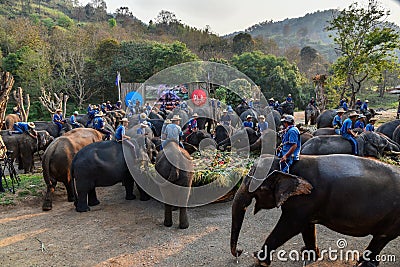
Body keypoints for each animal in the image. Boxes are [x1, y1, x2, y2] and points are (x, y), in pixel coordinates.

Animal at [230, 155, 400, 267]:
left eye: (258, 188)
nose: (240, 250)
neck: (286, 166)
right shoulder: (307, 204)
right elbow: (307, 227)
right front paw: (309, 253)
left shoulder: (306, 200)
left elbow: (290, 226)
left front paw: (259, 261)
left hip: (393, 218)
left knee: (381, 237)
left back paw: (364, 264)